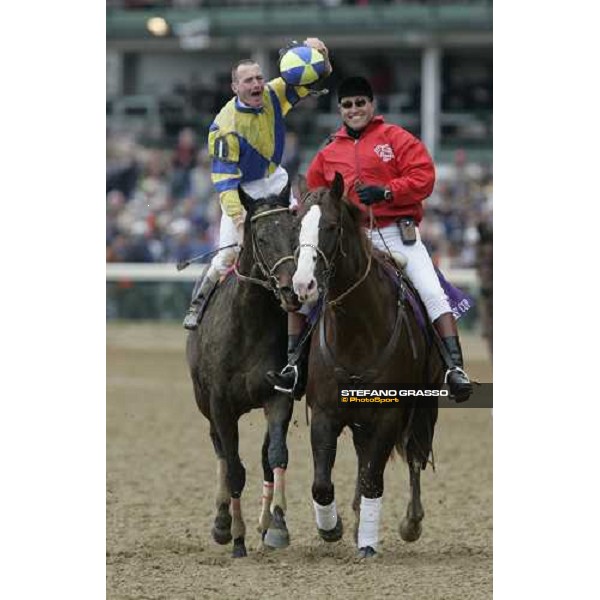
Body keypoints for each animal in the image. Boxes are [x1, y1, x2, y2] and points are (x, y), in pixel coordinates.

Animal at [184, 184, 298, 556]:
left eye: (296, 232)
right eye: (261, 237)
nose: (291, 289)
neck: (250, 324)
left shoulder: (279, 395)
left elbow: (275, 455)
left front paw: (276, 525)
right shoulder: (220, 403)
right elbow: (234, 468)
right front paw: (235, 535)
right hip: (204, 401)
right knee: (220, 449)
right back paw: (222, 522)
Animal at [292, 173, 442, 556]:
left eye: (331, 227)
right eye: (297, 225)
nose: (302, 284)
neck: (357, 332)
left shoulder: (389, 415)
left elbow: (374, 479)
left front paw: (369, 543)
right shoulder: (326, 412)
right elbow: (322, 484)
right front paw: (331, 528)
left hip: (423, 408)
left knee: (415, 456)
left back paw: (410, 522)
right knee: (364, 461)